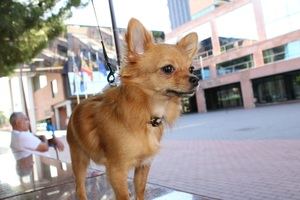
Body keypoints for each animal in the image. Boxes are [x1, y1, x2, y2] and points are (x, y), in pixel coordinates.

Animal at [68, 18, 199, 199]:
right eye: (168, 69)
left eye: (191, 69)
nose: (196, 79)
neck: (147, 114)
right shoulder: (116, 170)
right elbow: (123, 196)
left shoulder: (143, 165)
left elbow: (140, 191)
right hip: (79, 159)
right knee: (79, 187)